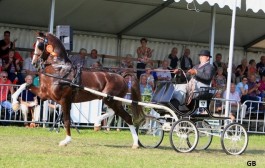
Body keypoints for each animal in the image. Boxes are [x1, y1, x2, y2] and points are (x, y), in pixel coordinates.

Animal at [11, 33, 144, 148]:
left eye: (39, 45)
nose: (34, 62)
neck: (58, 69)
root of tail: (121, 76)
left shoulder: (64, 100)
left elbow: (66, 120)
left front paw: (66, 140)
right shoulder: (44, 94)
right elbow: (25, 85)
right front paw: (15, 103)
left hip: (111, 99)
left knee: (126, 117)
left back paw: (134, 142)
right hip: (111, 100)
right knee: (117, 114)